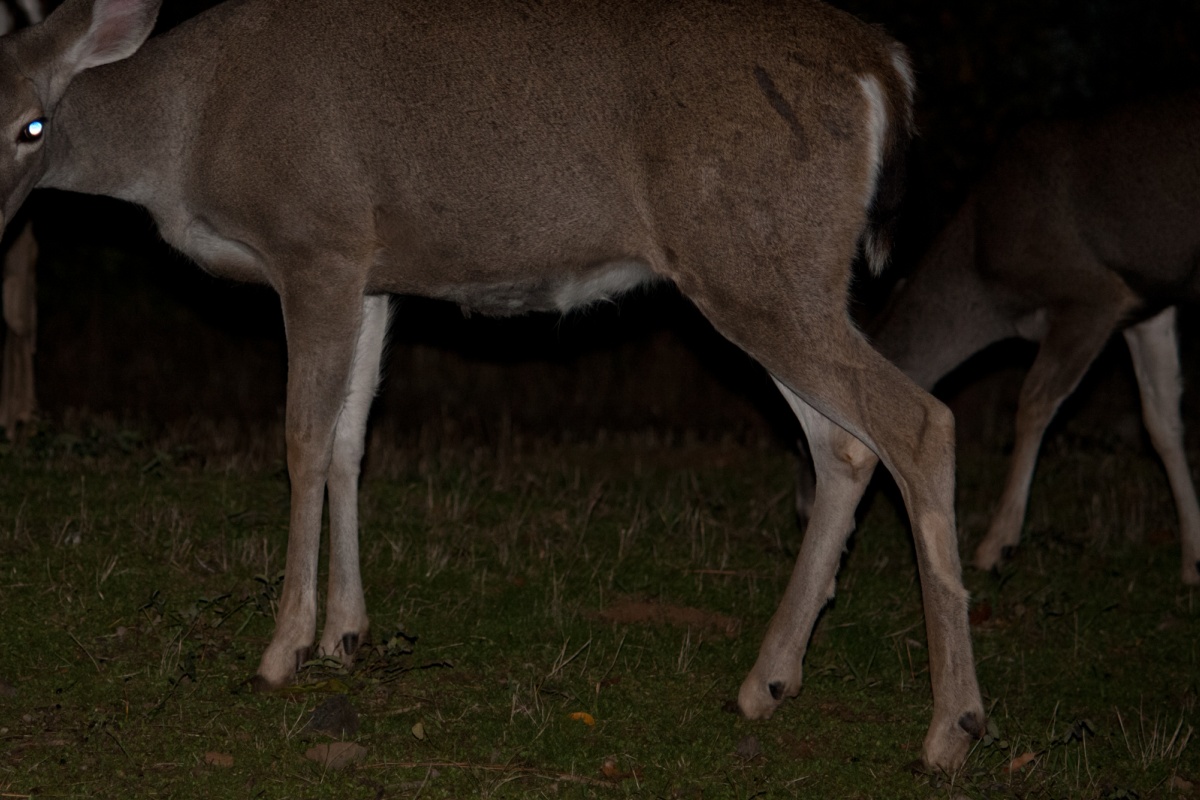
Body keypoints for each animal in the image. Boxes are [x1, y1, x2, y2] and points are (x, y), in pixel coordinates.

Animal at [2, 0, 984, 767]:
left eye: (30, 128)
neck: (186, 131)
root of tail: (882, 65)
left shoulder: (316, 243)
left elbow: (302, 441)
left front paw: (283, 649)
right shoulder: (375, 276)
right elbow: (352, 440)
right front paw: (346, 633)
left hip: (750, 254)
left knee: (917, 420)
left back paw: (949, 728)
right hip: (774, 269)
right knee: (844, 447)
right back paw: (766, 683)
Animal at [796, 95, 1200, 587]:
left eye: (811, 443)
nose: (801, 510)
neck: (983, 277)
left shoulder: (1093, 295)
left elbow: (1033, 403)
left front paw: (996, 543)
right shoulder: (1147, 304)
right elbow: (1162, 422)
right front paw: (1193, 559)